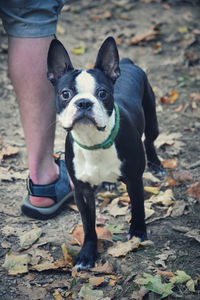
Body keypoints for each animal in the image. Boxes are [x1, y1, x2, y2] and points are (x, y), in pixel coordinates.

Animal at [47, 37, 164, 270]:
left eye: (102, 93)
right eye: (65, 94)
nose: (84, 102)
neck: (94, 142)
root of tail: (127, 63)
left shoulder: (134, 180)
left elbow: (138, 208)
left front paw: (138, 234)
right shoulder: (82, 191)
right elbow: (88, 225)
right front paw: (86, 255)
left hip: (151, 115)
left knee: (150, 140)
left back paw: (156, 165)